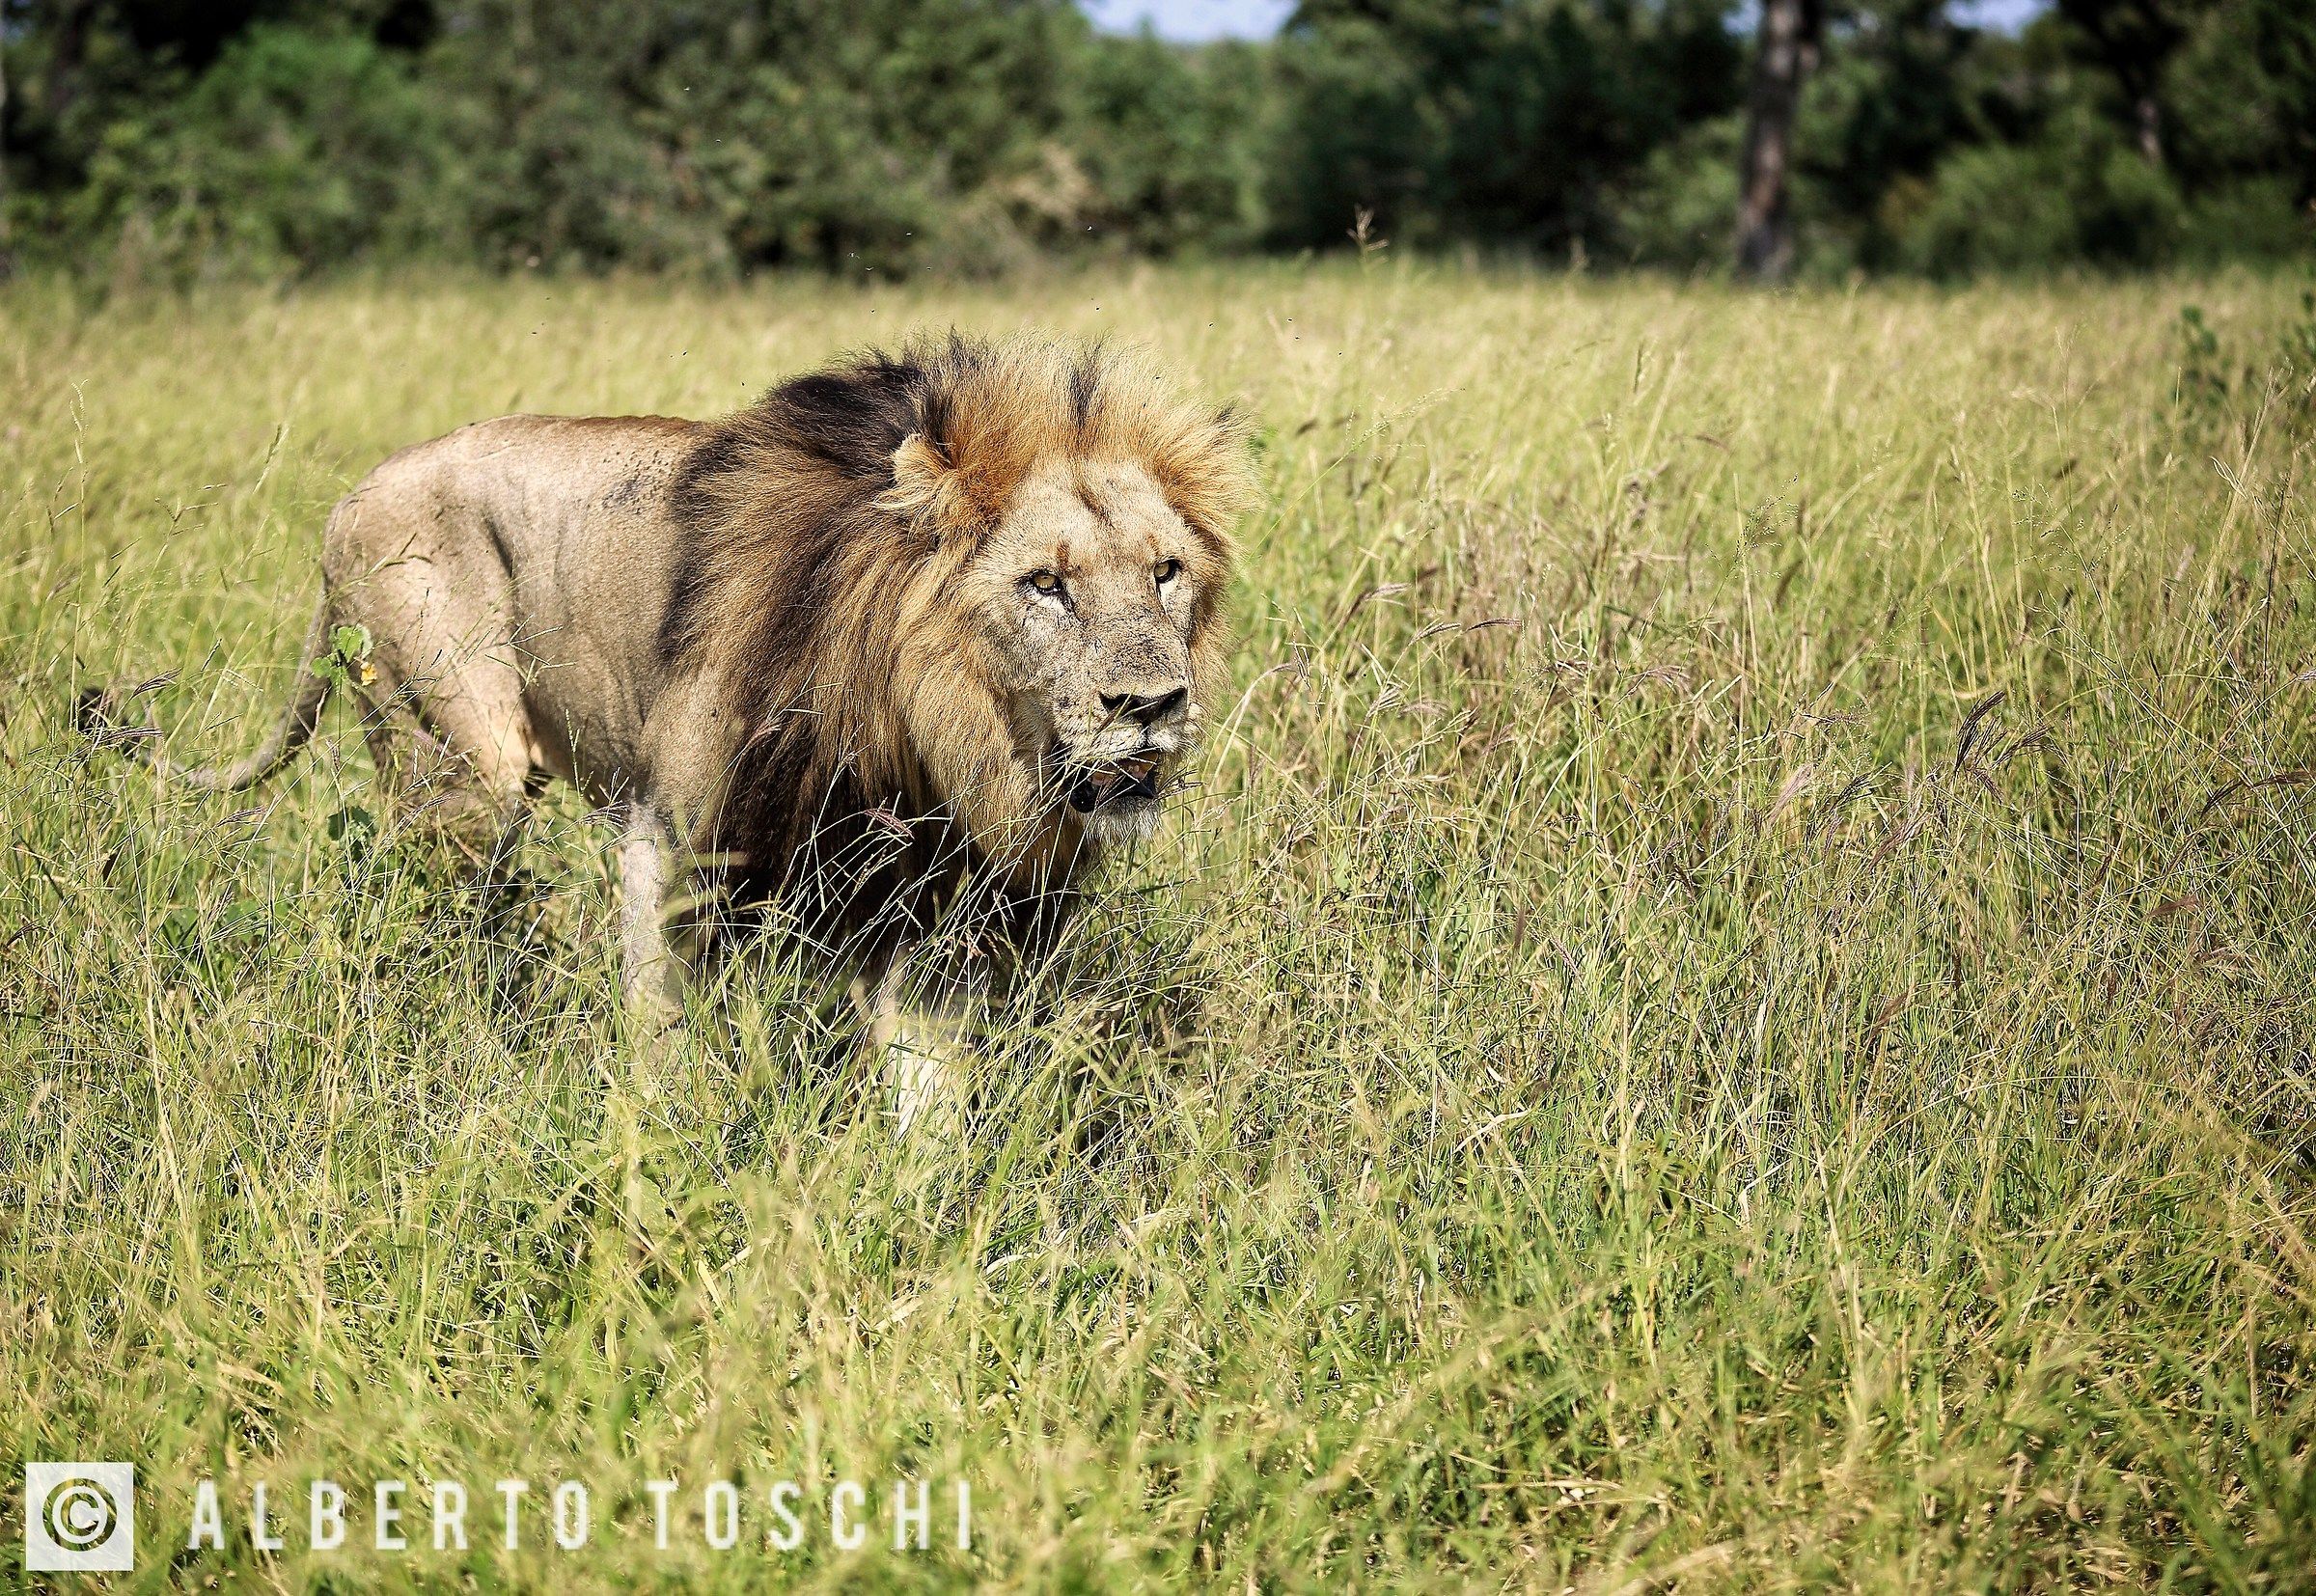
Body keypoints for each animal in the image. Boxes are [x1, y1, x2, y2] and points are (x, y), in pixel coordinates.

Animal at [89, 332, 1252, 1125]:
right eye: (1044, 584)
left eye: (1165, 572)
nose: (1151, 706)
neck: (937, 735)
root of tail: (344, 501)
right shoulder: (670, 836)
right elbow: (662, 1032)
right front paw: (658, 1157)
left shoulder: (936, 899)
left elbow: (925, 1090)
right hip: (456, 751)